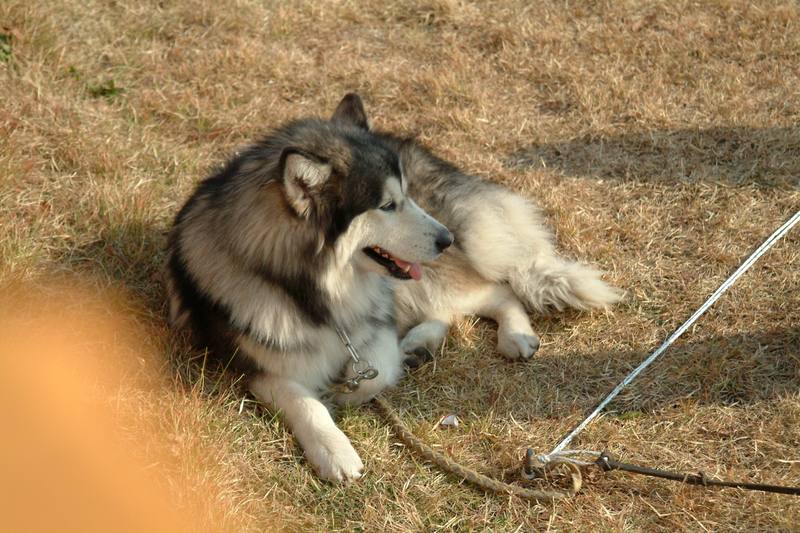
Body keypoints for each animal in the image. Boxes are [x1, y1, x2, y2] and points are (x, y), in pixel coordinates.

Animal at [166, 92, 620, 482]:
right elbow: (304, 401)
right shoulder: (253, 364)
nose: (446, 238)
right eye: (386, 206)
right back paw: (420, 343)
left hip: (428, 277)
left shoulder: (375, 319)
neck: (314, 288)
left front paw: (344, 393)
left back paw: (512, 335)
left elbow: (375, 373)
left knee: (495, 290)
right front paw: (334, 448)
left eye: (405, 195)